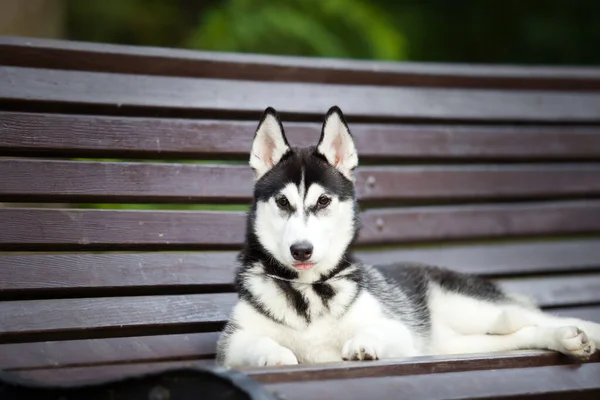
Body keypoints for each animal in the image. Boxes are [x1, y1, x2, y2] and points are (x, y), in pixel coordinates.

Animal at [217, 105, 600, 366]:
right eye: (283, 202)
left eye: (323, 201)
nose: (301, 250)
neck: (309, 293)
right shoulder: (231, 342)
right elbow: (251, 344)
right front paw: (274, 354)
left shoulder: (400, 331)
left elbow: (378, 331)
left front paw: (363, 343)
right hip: (463, 342)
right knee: (522, 333)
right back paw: (567, 341)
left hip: (477, 309)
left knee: (537, 318)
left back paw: (580, 333)